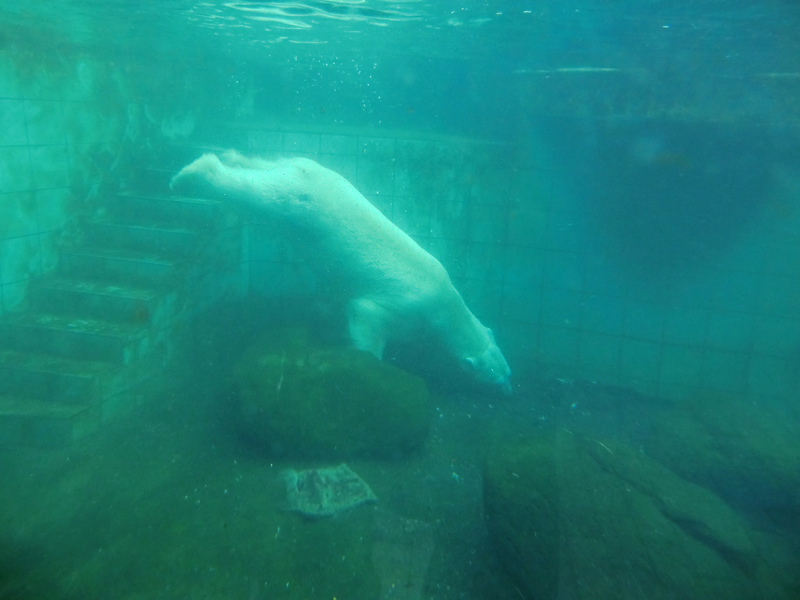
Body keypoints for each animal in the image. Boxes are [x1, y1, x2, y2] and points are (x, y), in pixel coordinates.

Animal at [172, 152, 516, 392]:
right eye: (496, 377)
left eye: (507, 370)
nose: (509, 388)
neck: (448, 306)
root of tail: (303, 170)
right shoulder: (408, 309)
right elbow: (365, 313)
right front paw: (367, 362)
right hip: (301, 204)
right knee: (259, 193)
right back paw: (191, 176)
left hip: (305, 170)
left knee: (266, 166)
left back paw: (233, 156)